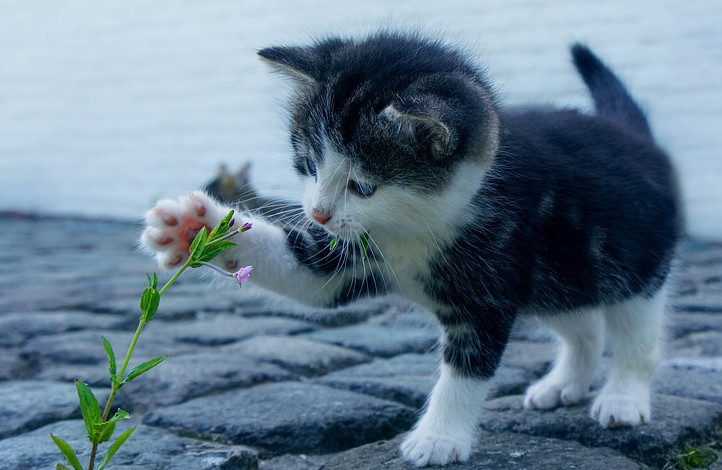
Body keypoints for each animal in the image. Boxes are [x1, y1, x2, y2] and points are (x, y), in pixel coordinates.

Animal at [141, 33, 680, 466]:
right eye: (309, 164)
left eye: (363, 186)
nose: (317, 213)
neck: (414, 226)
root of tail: (635, 136)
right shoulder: (350, 254)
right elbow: (308, 275)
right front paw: (195, 227)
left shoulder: (490, 284)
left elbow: (466, 369)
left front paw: (439, 439)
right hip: (558, 274)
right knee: (582, 324)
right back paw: (564, 383)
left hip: (632, 263)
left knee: (635, 334)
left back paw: (623, 398)